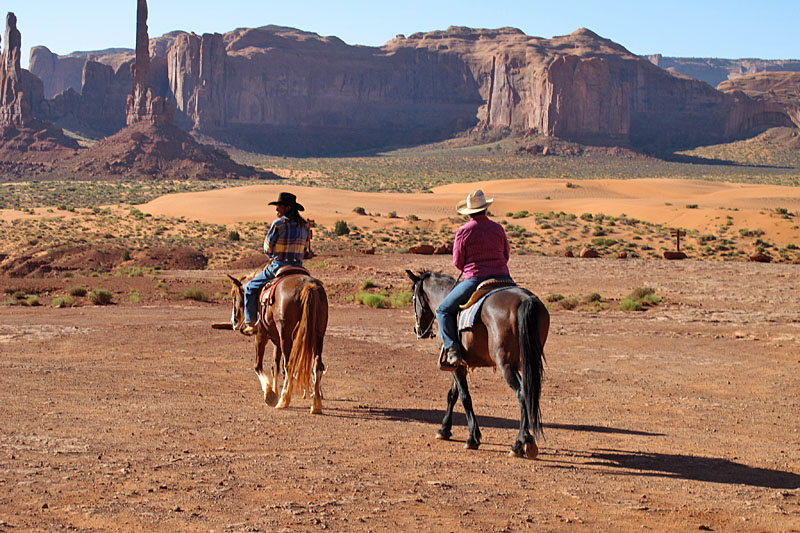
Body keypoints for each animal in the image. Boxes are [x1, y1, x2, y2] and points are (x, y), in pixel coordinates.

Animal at [227, 272, 326, 414]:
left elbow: (258, 365)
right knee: (317, 365)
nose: (233, 321)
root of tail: (309, 286)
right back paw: (316, 404)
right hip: (318, 336)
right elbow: (275, 367)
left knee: (289, 365)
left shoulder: (261, 335)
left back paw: (284, 400)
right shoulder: (277, 342)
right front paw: (274, 391)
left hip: (286, 335)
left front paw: (270, 395)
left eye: (234, 296)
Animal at [406, 270, 552, 458]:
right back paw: (528, 441)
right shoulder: (459, 365)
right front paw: (444, 430)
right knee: (529, 393)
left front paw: (472, 438)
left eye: (413, 298)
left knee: (521, 393)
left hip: (507, 366)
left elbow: (464, 397)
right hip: (528, 362)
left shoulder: (457, 366)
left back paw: (519, 443)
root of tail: (526, 299)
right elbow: (452, 395)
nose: (417, 330)